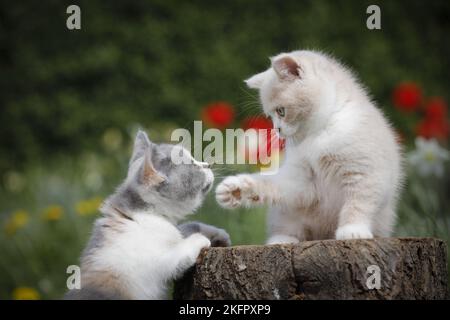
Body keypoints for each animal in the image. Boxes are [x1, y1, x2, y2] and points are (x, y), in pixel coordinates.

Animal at [65, 131, 230, 300]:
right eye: (193, 165)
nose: (207, 165)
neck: (145, 215)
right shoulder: (157, 263)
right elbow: (179, 252)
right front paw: (199, 238)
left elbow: (187, 226)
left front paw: (217, 233)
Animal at [216, 50, 402, 242]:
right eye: (269, 116)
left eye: (281, 111)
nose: (277, 130)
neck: (316, 135)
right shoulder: (301, 180)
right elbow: (273, 183)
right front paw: (236, 189)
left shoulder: (364, 172)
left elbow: (358, 201)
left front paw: (352, 229)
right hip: (285, 214)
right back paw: (282, 239)